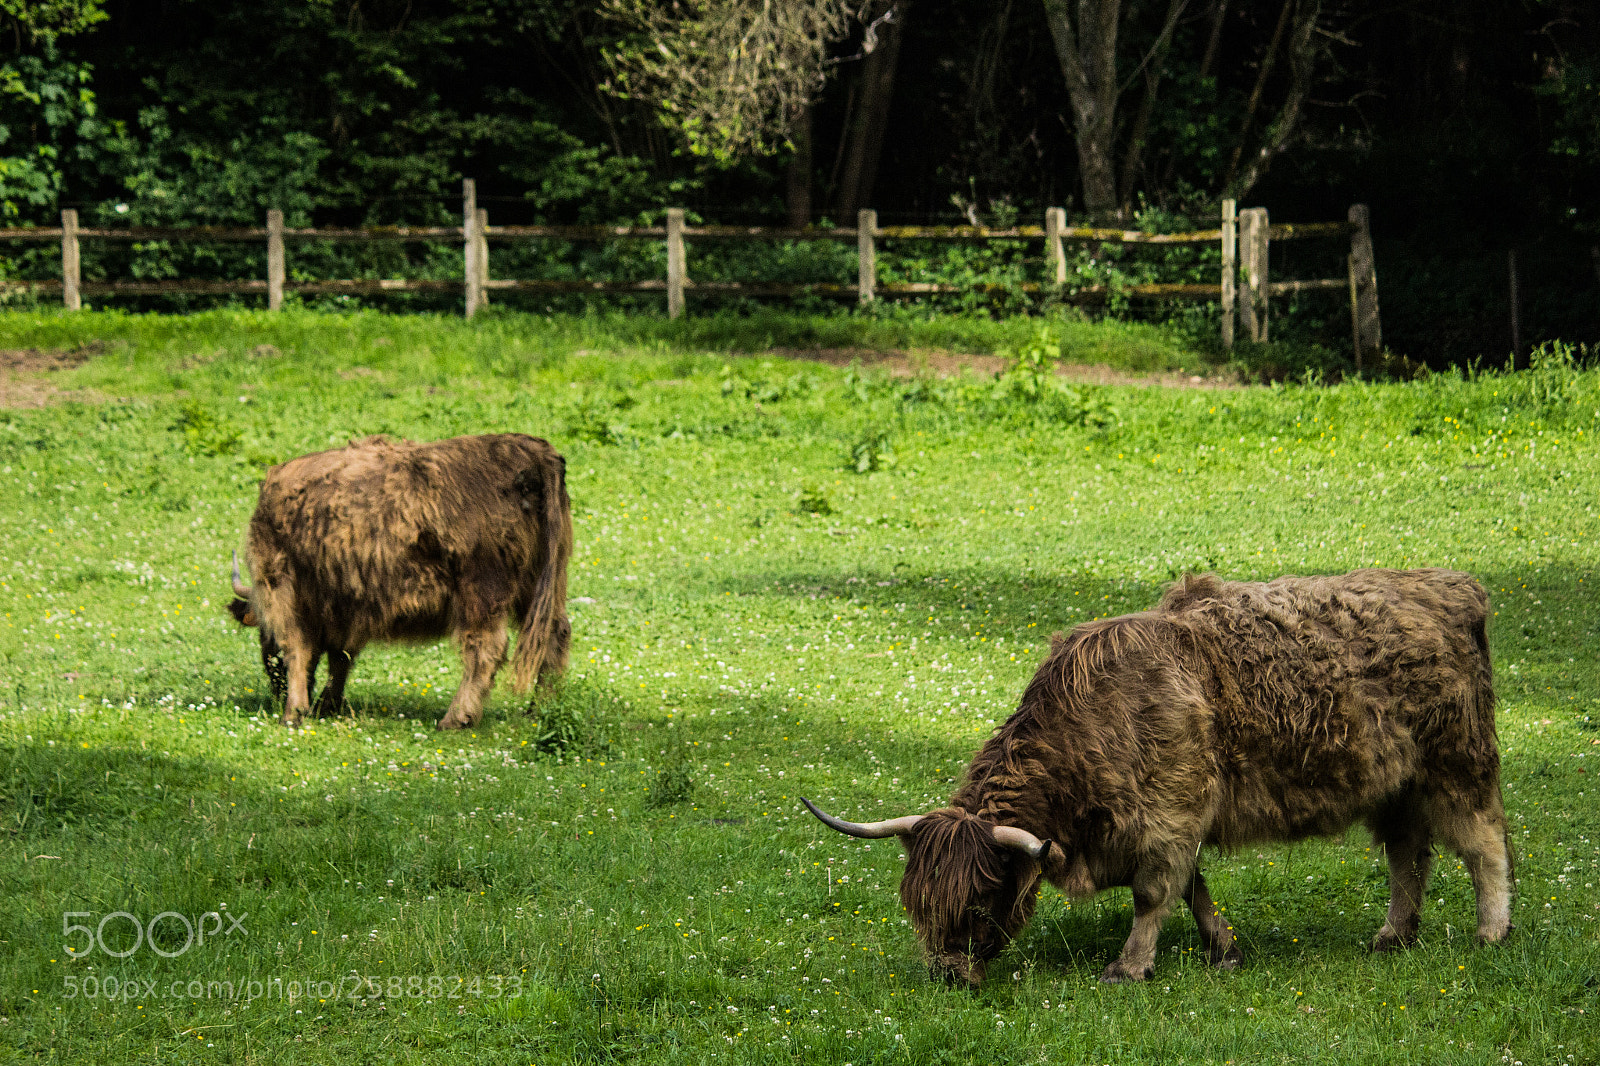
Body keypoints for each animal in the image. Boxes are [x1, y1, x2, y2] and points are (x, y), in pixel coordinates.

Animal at [227, 433, 572, 730]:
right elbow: (340, 659)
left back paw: (455, 719)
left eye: (262, 634)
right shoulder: (348, 606)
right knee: (555, 635)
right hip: (540, 588)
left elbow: (297, 647)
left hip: (482, 594)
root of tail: (535, 453)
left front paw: (294, 713)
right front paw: (325, 705)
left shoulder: (282, 584)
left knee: (485, 648)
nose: (277, 692)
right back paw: (540, 711)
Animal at [803, 569, 1513, 986]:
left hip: (1457, 765)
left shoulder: (1170, 816)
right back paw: (1394, 936)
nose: (949, 976)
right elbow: (1194, 888)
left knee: (1484, 846)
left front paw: (1129, 966)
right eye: (916, 904)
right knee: (1408, 854)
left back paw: (1491, 932)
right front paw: (1223, 948)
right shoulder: (1172, 821)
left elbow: (1153, 895)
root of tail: (1452, 585)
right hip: (1397, 785)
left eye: (977, 901)